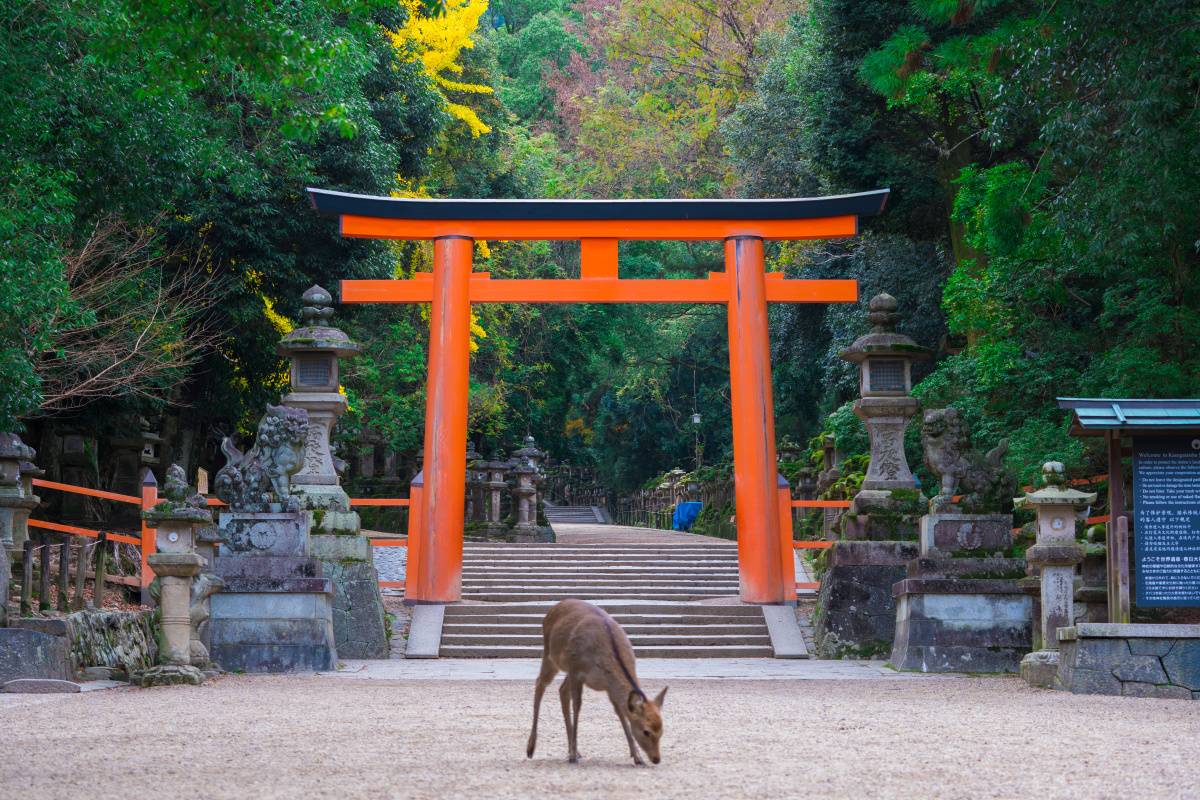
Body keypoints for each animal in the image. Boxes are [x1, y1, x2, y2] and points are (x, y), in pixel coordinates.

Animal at [526, 598, 668, 766]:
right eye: (646, 731)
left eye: (662, 730)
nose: (656, 759)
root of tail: (555, 607)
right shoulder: (576, 671)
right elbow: (577, 706)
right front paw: (572, 756)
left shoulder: (608, 687)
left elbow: (621, 713)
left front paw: (637, 757)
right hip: (550, 656)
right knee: (540, 684)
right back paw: (531, 749)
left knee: (562, 690)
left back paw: (576, 751)